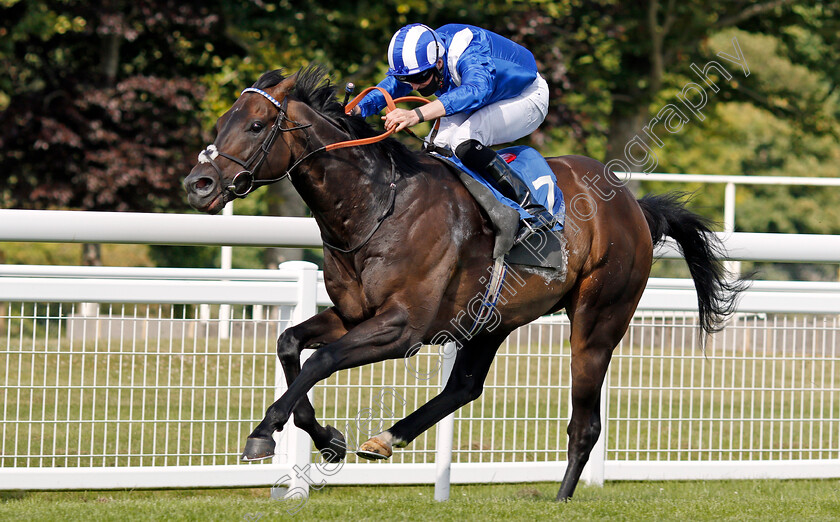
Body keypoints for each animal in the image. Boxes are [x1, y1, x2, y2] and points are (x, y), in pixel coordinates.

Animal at [184, 66, 740, 500]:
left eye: (256, 125)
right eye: (222, 122)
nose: (199, 185)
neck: (377, 205)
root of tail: (633, 206)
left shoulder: (403, 328)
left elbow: (321, 361)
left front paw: (263, 432)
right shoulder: (354, 314)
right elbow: (289, 342)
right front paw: (329, 439)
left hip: (599, 320)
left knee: (585, 422)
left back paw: (562, 495)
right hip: (492, 319)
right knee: (465, 386)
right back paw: (386, 437)